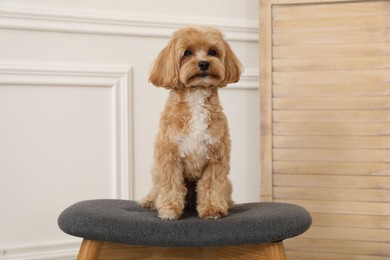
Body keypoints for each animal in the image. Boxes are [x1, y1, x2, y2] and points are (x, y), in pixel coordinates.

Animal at [140, 26, 242, 220]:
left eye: (212, 52)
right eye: (187, 52)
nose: (204, 64)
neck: (196, 94)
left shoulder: (216, 157)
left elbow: (211, 185)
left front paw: (212, 209)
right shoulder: (169, 156)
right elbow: (170, 184)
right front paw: (169, 209)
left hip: (228, 184)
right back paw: (149, 201)